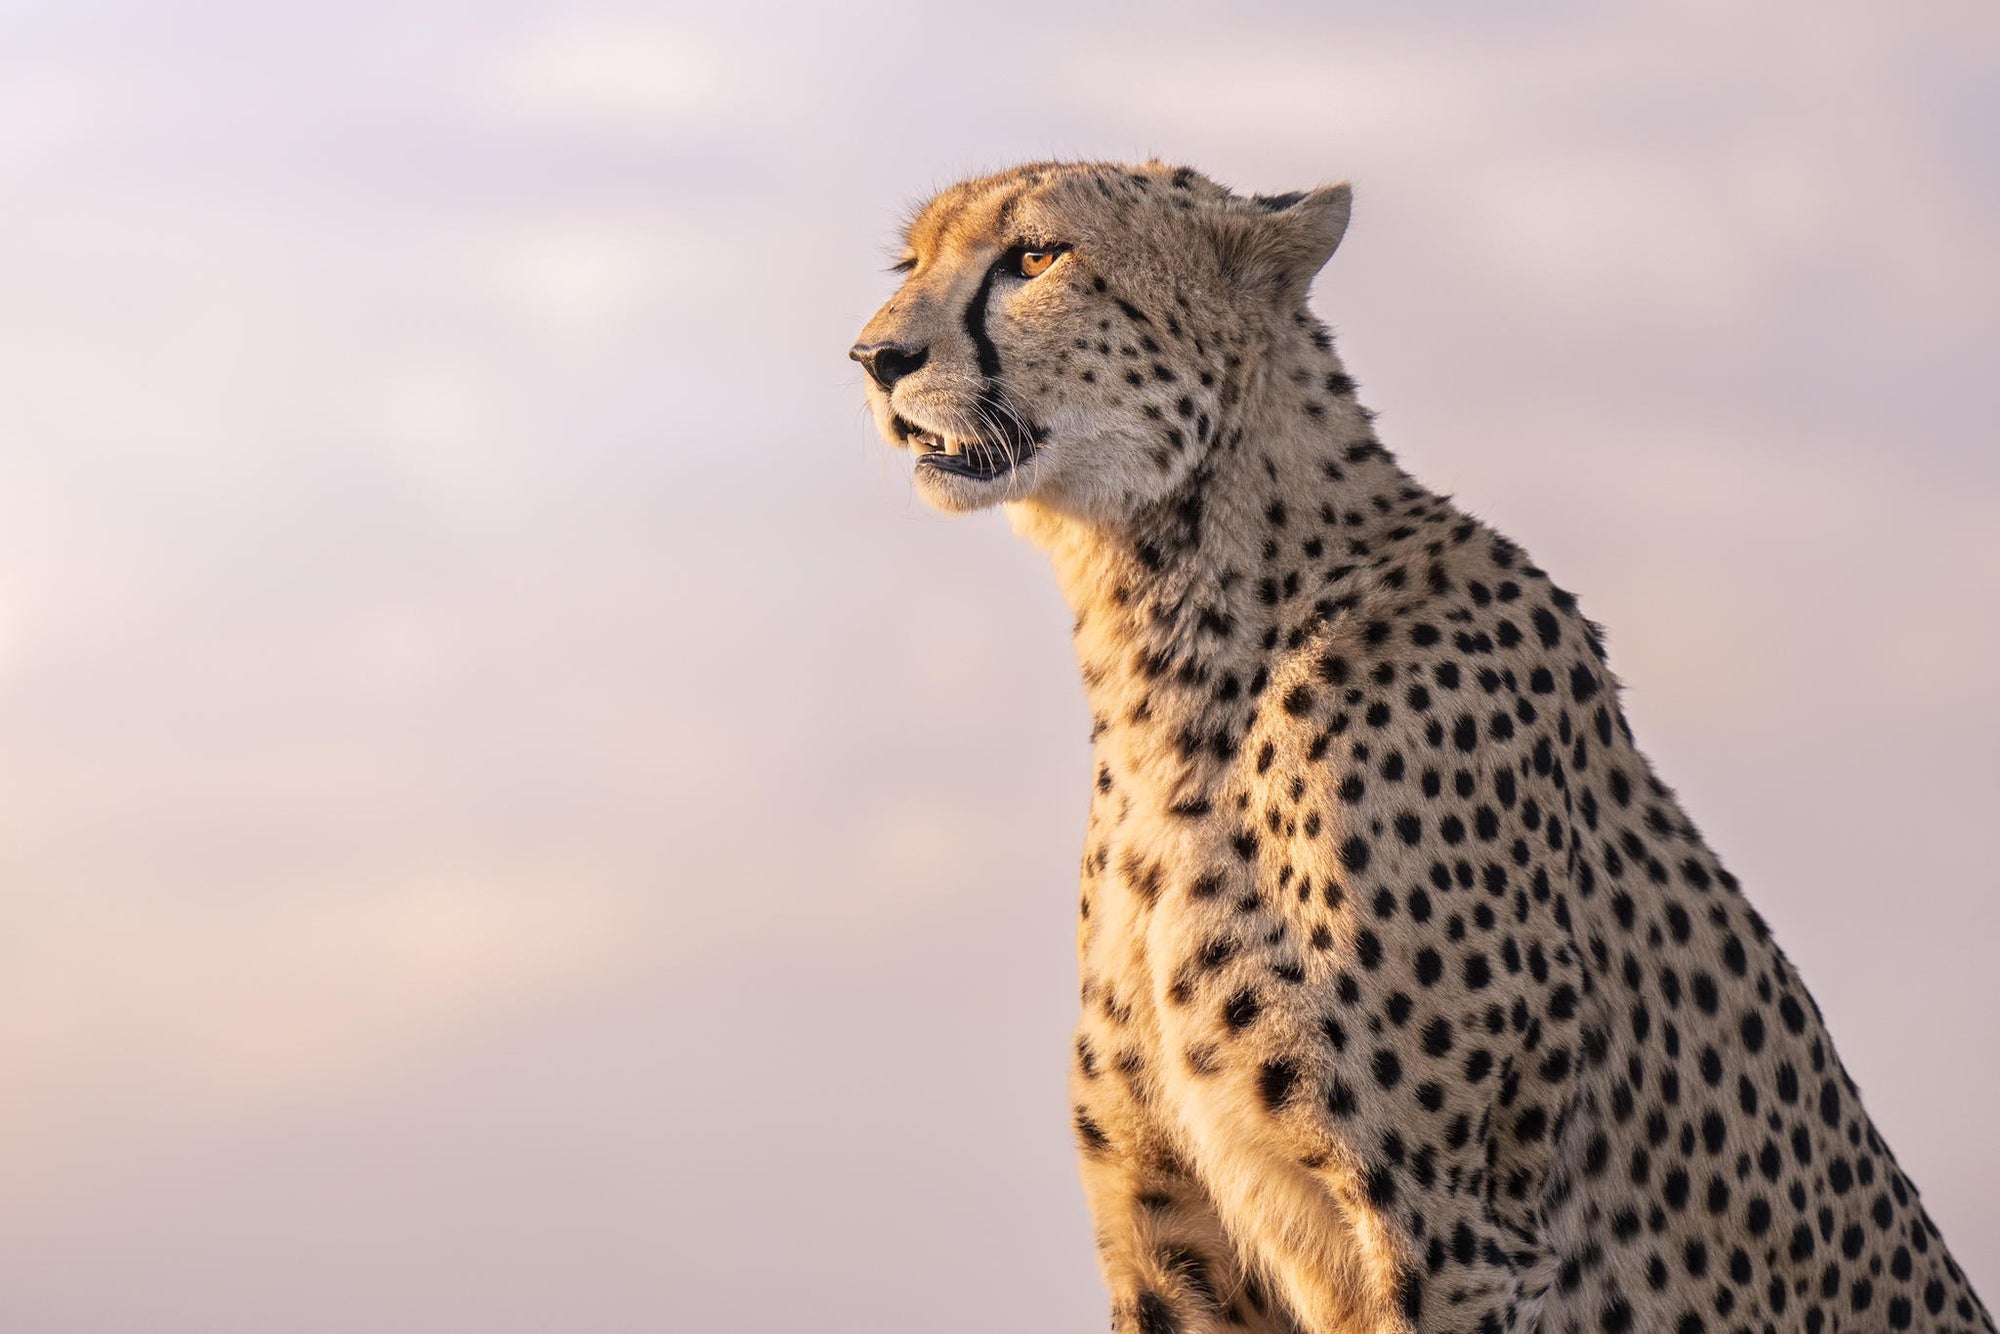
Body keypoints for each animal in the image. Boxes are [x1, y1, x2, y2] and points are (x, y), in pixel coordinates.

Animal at [850, 159, 1993, 1334]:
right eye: (908, 262)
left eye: (1035, 255)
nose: (873, 357)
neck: (1172, 643)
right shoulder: (1171, 1233)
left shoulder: (1454, 1230)